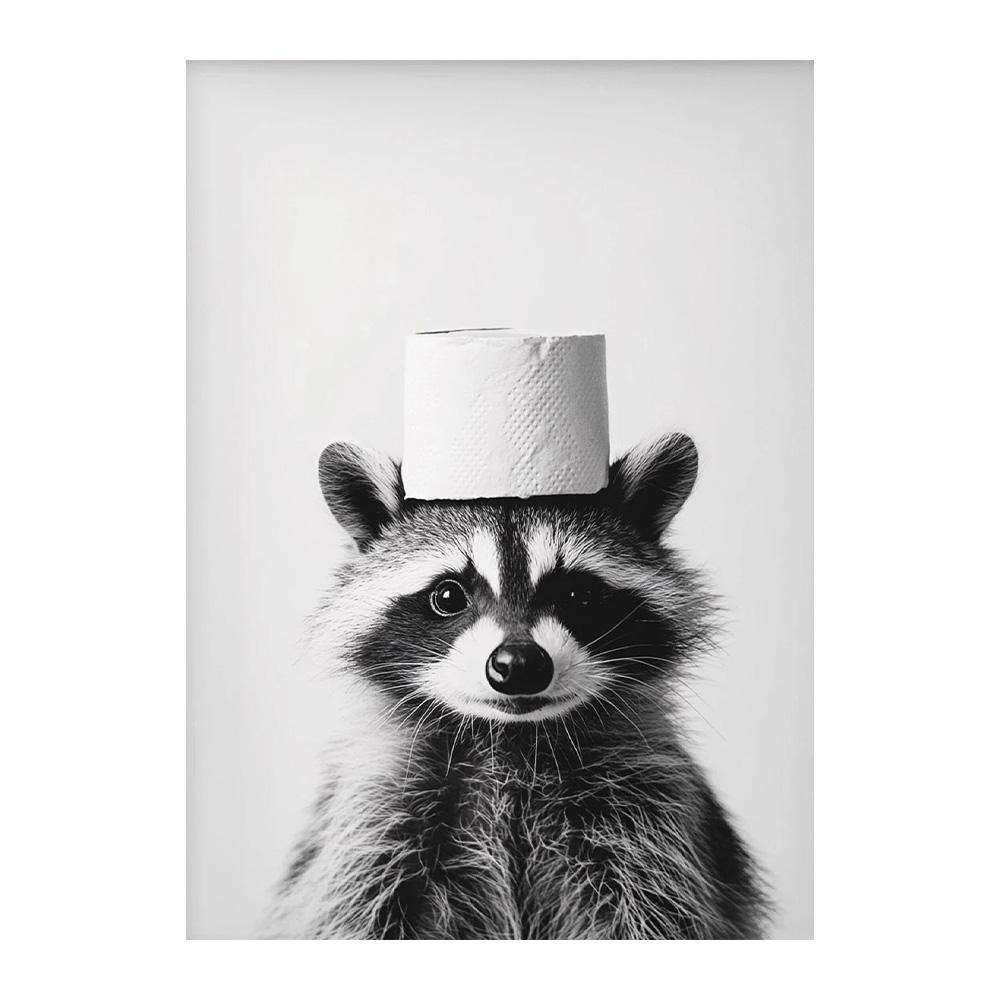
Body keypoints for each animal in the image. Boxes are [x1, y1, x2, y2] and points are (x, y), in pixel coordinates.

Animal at [266, 433, 770, 939]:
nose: (520, 664)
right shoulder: (376, 813)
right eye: (448, 595)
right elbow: (354, 911)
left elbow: (657, 912)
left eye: (578, 594)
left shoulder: (649, 814)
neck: (511, 739)